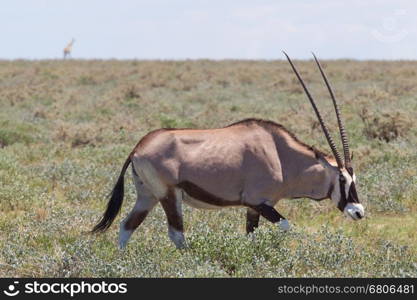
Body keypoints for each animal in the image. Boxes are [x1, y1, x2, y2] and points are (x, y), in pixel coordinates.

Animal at [92, 52, 364, 248]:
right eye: (341, 179)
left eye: (355, 179)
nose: (358, 212)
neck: (281, 156)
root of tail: (138, 146)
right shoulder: (258, 201)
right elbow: (286, 226)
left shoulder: (254, 208)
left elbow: (251, 235)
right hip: (168, 195)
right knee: (176, 235)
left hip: (147, 195)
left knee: (126, 226)